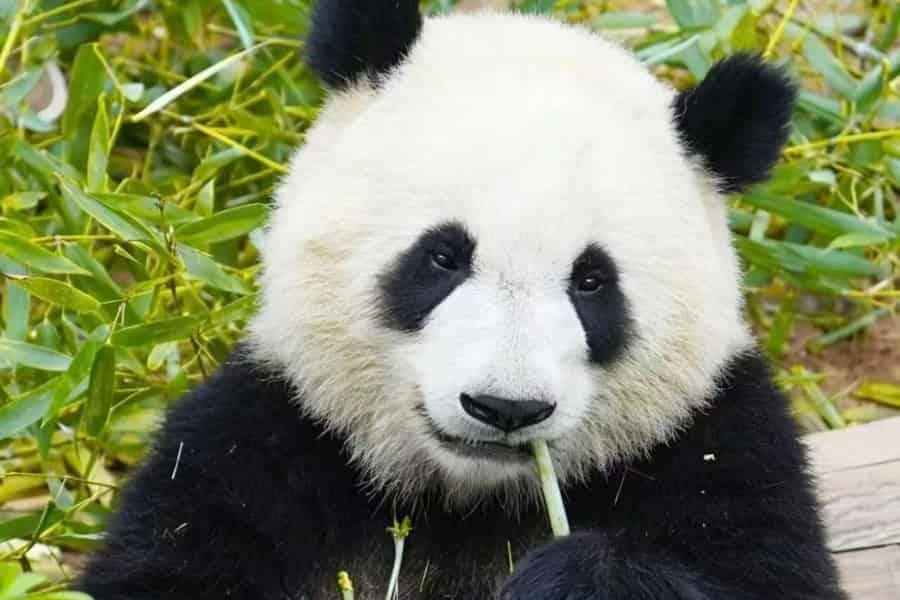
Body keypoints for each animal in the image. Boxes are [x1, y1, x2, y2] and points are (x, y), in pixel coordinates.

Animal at [80, 2, 847, 599]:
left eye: (591, 281)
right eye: (443, 256)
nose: (505, 408)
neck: (465, 503)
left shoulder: (721, 452)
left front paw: (573, 581)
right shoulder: (262, 447)